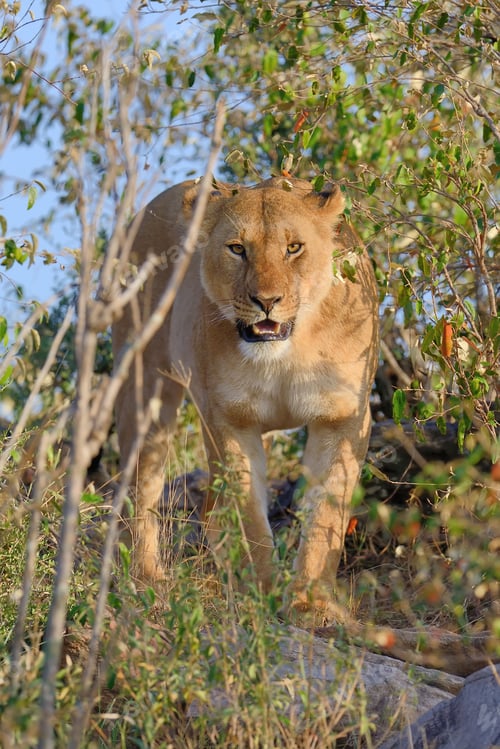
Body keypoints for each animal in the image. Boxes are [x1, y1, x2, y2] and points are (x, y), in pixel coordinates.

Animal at [112, 177, 379, 618]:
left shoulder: (343, 418)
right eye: (237, 249)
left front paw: (310, 604)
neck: (287, 354)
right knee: (141, 486)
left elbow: (326, 515)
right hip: (145, 386)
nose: (266, 301)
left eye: (294, 248)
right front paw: (263, 592)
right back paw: (145, 578)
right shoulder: (230, 420)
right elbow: (250, 516)